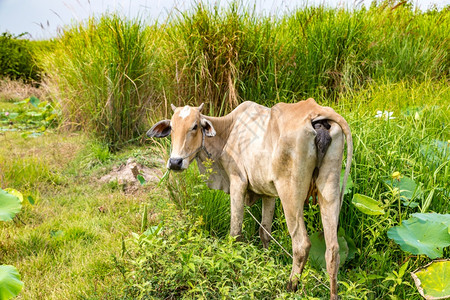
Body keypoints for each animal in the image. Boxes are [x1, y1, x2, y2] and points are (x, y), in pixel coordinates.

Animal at [148, 99, 352, 298]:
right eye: (172, 127)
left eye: (195, 126)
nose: (175, 162)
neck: (229, 130)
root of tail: (316, 113)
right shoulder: (268, 193)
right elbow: (264, 232)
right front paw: (266, 263)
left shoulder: (237, 181)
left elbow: (235, 233)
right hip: (330, 187)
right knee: (333, 250)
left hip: (290, 194)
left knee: (301, 244)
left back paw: (289, 288)